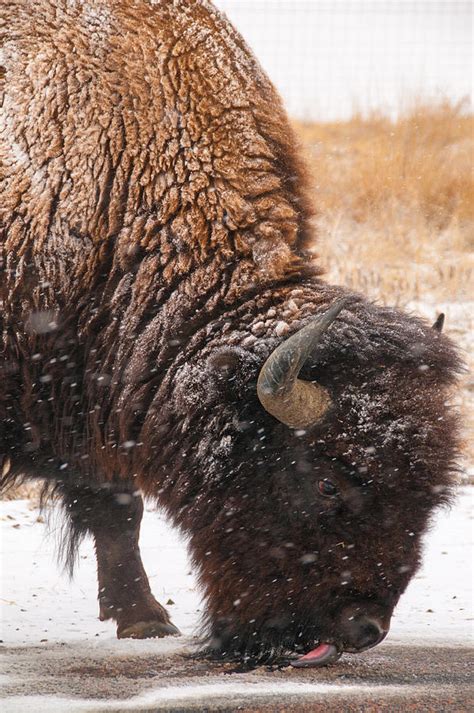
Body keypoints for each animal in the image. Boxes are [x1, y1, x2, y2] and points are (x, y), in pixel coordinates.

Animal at [0, 0, 460, 668]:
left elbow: (118, 507)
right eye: (327, 482)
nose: (362, 629)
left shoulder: (99, 398)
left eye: (426, 495)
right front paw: (147, 618)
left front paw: (143, 619)